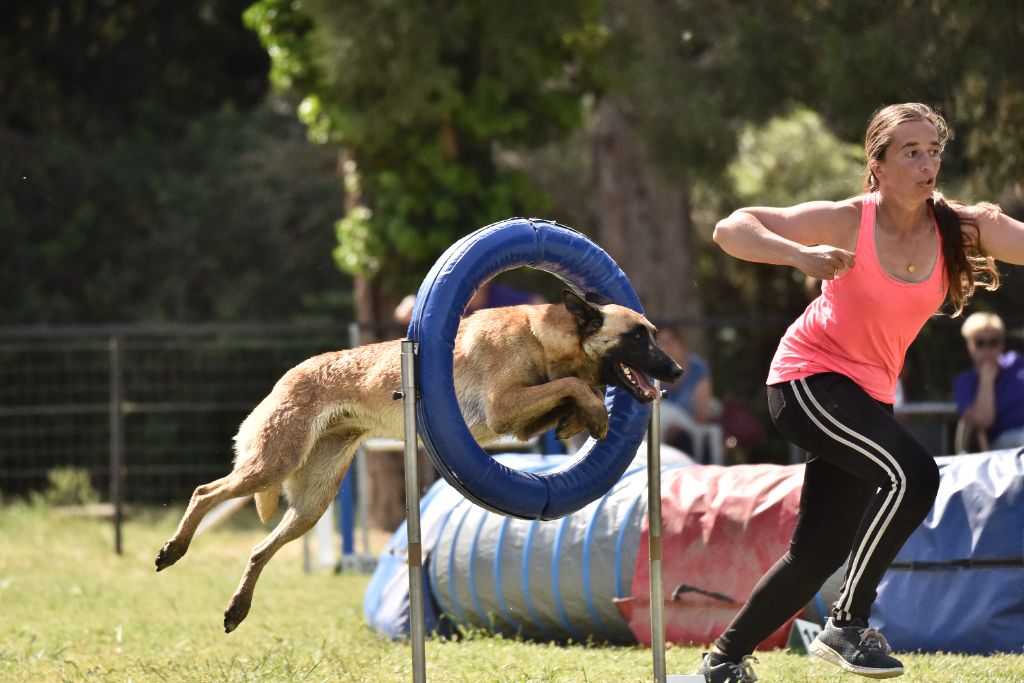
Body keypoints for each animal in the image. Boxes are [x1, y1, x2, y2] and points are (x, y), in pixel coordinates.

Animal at [155, 286, 684, 634]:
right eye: (638, 337)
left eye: (653, 334)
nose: (676, 370)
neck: (542, 337)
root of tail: (289, 375)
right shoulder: (504, 405)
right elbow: (575, 385)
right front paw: (593, 412)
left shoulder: (519, 420)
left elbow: (572, 393)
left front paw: (582, 418)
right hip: (273, 463)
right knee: (205, 491)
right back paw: (173, 550)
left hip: (311, 506)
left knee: (257, 550)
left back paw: (237, 608)